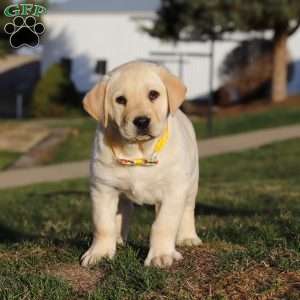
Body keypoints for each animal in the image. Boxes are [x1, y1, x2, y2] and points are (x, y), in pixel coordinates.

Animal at [81, 61, 202, 268]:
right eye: (120, 100)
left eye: (153, 94)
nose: (142, 121)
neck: (138, 153)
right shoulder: (102, 188)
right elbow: (103, 224)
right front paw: (100, 252)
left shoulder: (173, 190)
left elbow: (163, 224)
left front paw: (161, 255)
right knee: (124, 210)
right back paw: (118, 239)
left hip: (191, 182)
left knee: (187, 209)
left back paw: (187, 237)